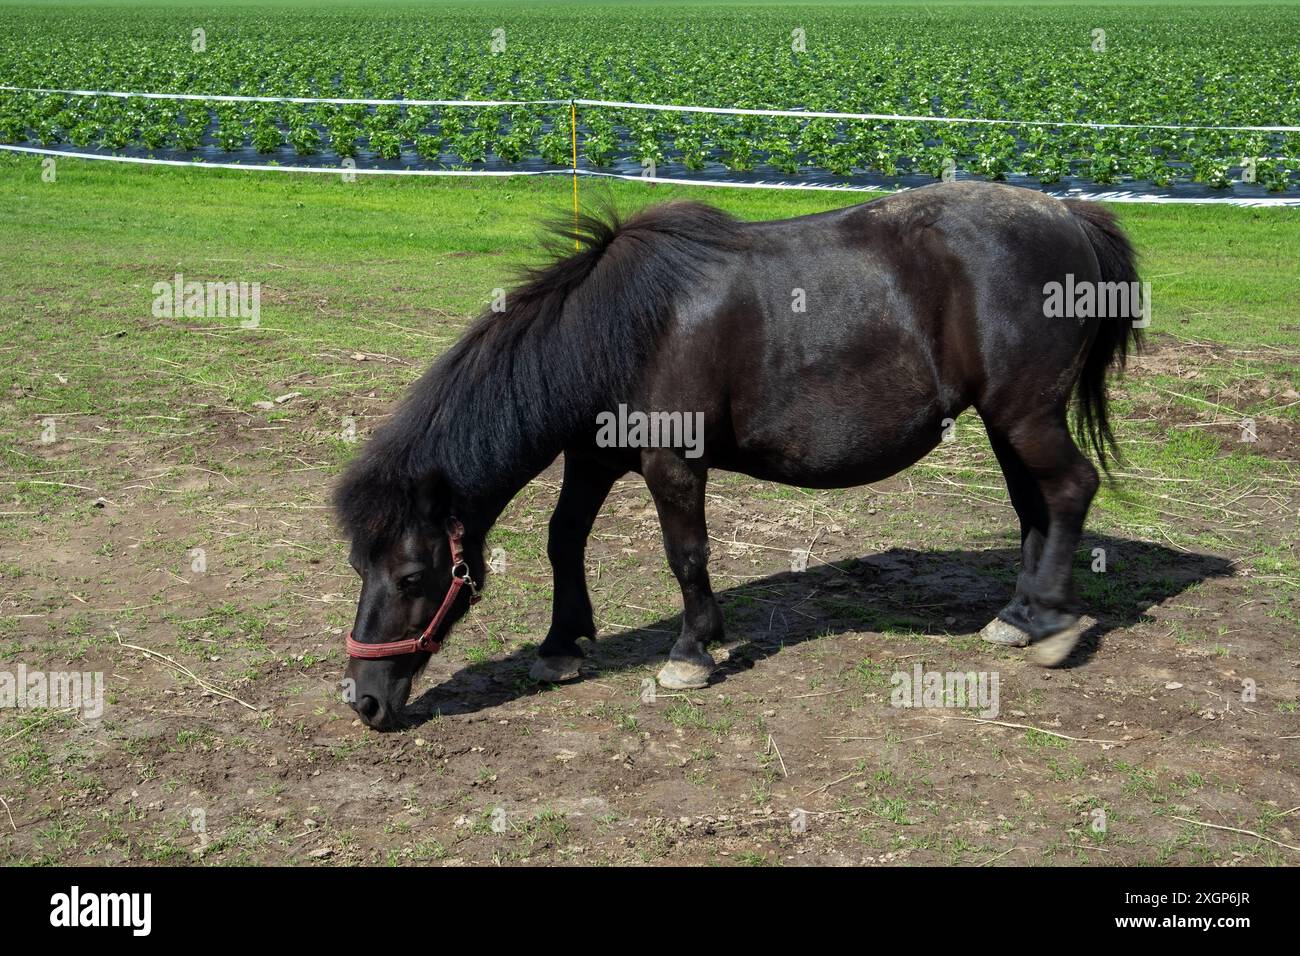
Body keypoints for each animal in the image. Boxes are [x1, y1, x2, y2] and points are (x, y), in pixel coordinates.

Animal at [332, 180, 1138, 733]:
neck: (625, 330)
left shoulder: (672, 465)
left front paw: (692, 652)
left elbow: (686, 554)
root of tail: (1071, 216)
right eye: (359, 566)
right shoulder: (591, 459)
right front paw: (563, 645)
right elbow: (564, 541)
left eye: (413, 575)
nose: (365, 701)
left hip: (1025, 415)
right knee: (1035, 507)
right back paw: (1018, 615)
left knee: (1070, 489)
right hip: (1008, 422)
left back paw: (1053, 628)